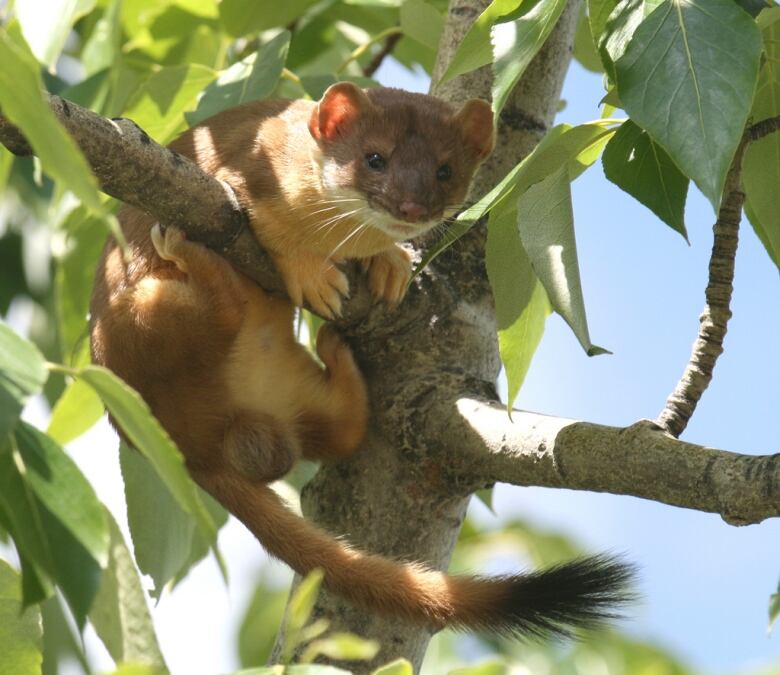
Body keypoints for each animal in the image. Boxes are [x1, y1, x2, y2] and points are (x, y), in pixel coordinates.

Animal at [90, 83, 632, 640]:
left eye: (445, 169)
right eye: (375, 157)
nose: (411, 206)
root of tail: (190, 449)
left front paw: (390, 265)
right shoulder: (239, 170)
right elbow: (262, 221)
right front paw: (314, 275)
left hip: (292, 385)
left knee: (336, 431)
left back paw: (336, 347)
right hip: (141, 318)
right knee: (219, 307)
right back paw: (185, 247)